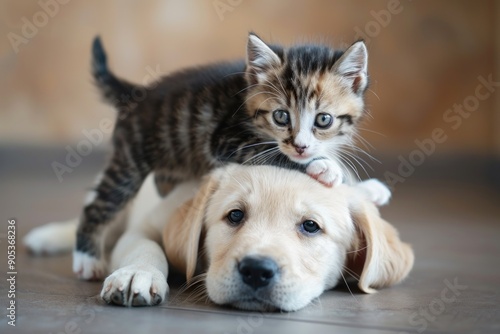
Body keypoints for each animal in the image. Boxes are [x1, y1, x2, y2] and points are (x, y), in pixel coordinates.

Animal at [24, 164, 414, 310]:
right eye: (235, 215)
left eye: (310, 226)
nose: (256, 271)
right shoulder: (146, 224)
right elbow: (147, 246)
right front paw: (138, 274)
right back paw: (54, 241)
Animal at [75, 33, 372, 280]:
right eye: (281, 116)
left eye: (323, 119)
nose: (301, 146)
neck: (247, 99)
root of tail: (138, 94)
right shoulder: (225, 140)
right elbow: (273, 153)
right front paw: (324, 167)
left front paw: (364, 185)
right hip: (130, 161)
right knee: (99, 203)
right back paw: (86, 259)